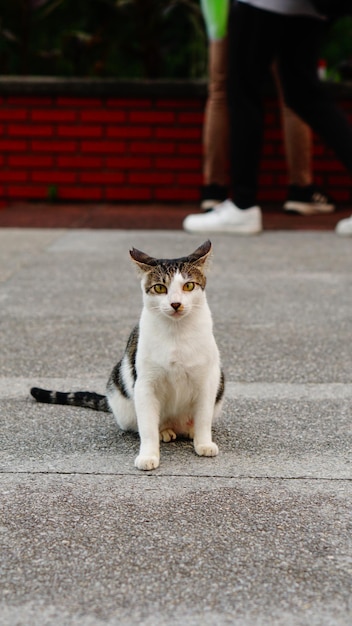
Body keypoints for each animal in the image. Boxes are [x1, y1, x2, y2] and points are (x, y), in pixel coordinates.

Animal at [30, 239, 224, 468]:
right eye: (160, 288)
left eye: (188, 286)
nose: (176, 303)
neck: (176, 333)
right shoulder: (145, 384)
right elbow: (147, 426)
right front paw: (148, 455)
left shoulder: (207, 380)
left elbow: (203, 418)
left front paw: (203, 443)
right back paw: (164, 431)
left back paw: (190, 430)